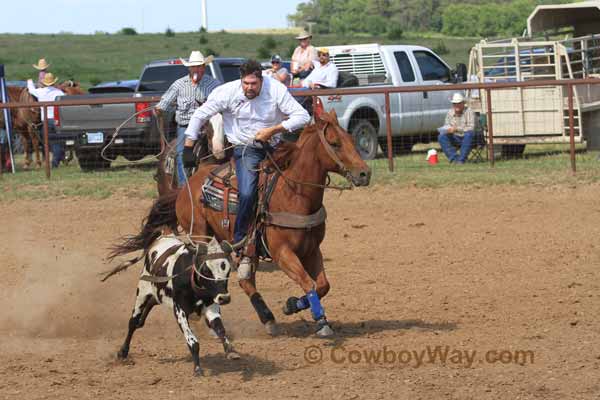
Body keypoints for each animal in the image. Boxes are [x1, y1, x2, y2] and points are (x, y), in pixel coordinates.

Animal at [112, 110, 370, 338]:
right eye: (335, 143)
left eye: (351, 139)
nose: (365, 174)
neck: (294, 194)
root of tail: (189, 183)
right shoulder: (282, 253)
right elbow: (309, 283)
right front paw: (315, 318)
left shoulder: (312, 249)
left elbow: (322, 285)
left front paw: (297, 308)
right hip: (200, 234)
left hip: (244, 245)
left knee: (246, 281)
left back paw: (268, 318)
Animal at [117, 234, 239, 376]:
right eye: (206, 270)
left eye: (228, 269)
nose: (224, 298)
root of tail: (160, 238)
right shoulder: (180, 311)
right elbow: (193, 341)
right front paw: (197, 369)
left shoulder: (211, 306)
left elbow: (219, 328)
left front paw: (231, 351)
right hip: (142, 292)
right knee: (133, 322)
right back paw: (123, 352)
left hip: (158, 294)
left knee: (148, 308)